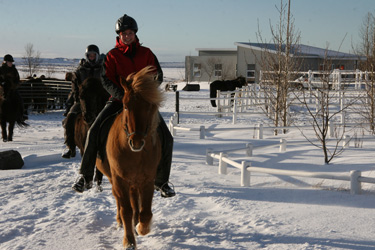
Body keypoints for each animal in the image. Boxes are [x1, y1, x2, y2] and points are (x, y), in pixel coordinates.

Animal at [96, 67, 162, 250]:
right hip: (114, 179)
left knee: (135, 202)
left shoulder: (147, 180)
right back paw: (120, 222)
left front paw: (141, 227)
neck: (135, 153)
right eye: (126, 106)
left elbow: (145, 212)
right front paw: (129, 241)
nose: (136, 142)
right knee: (119, 201)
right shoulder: (119, 179)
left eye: (149, 107)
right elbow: (126, 209)